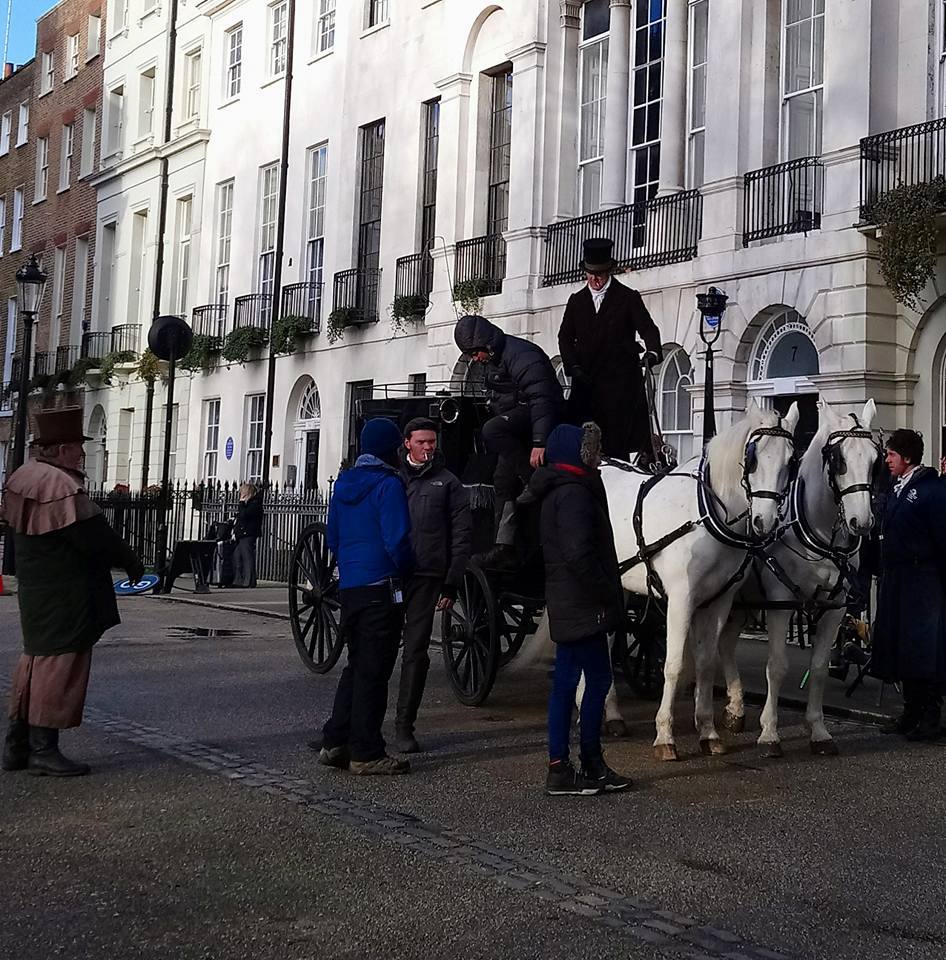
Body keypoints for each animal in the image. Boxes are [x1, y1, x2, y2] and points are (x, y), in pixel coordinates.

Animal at [596, 398, 796, 756]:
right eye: (752, 459)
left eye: (791, 461)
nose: (765, 522)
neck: (706, 514)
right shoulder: (681, 598)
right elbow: (673, 664)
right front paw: (665, 734)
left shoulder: (718, 600)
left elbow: (704, 662)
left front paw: (708, 731)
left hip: (616, 585)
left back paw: (611, 715)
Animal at [716, 400, 876, 756]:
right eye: (839, 459)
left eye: (876, 459)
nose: (861, 522)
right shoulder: (780, 600)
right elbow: (776, 665)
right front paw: (769, 732)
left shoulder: (835, 606)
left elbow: (818, 667)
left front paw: (818, 730)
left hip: (741, 601)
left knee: (725, 643)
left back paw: (735, 708)